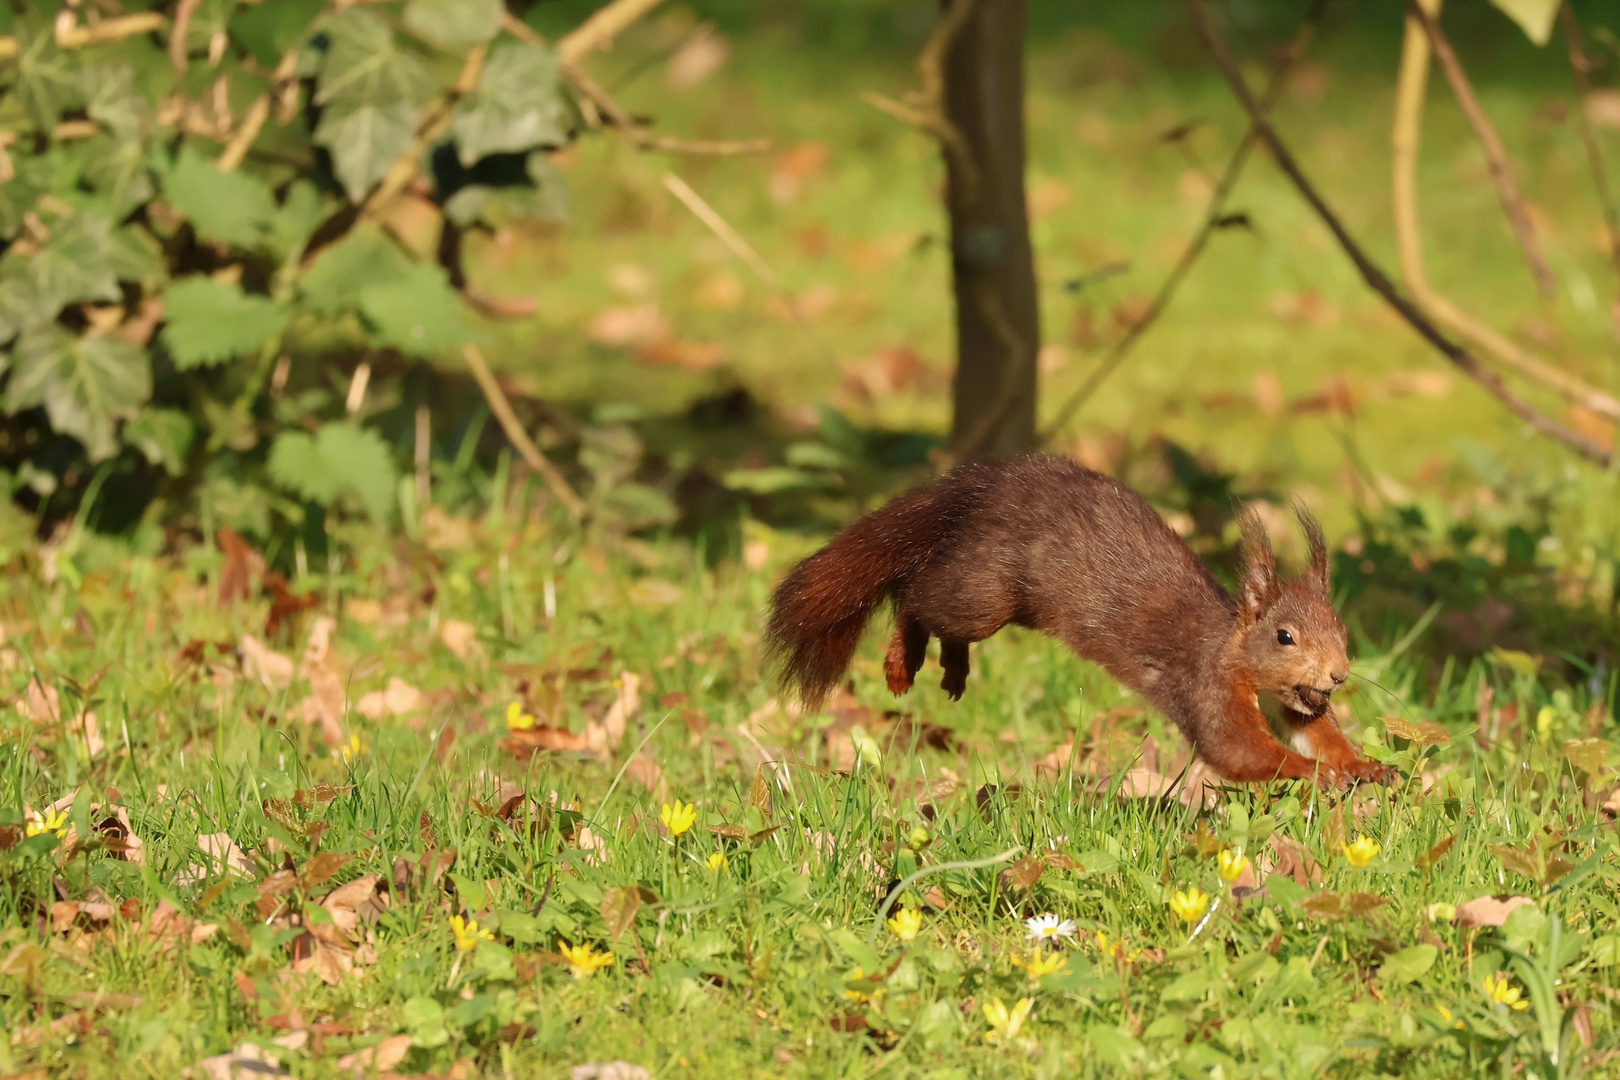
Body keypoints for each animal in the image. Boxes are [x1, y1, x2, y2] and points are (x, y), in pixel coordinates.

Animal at [767, 453, 1393, 786]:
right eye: (1285, 636)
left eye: (1342, 632)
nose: (1338, 675)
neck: (1237, 655)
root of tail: (988, 488)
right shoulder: (1206, 686)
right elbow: (1236, 750)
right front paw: (1319, 775)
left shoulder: (1295, 703)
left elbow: (1318, 732)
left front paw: (1365, 766)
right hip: (984, 594)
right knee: (918, 595)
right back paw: (904, 658)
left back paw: (953, 668)